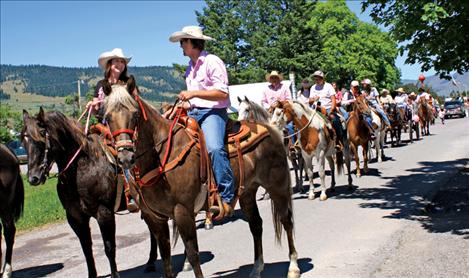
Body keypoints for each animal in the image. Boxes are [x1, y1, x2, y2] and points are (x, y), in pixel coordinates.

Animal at [21, 109, 159, 278]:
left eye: (41, 134)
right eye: (23, 139)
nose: (33, 178)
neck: (83, 168)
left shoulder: (104, 213)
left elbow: (109, 247)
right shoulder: (76, 218)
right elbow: (87, 250)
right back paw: (151, 262)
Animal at [103, 85, 300, 278]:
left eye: (135, 114)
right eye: (107, 117)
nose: (125, 157)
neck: (160, 157)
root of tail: (271, 130)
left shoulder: (182, 211)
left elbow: (192, 254)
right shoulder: (154, 217)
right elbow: (166, 257)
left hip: (277, 186)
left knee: (286, 220)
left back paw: (293, 267)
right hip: (247, 192)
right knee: (256, 225)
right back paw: (257, 268)